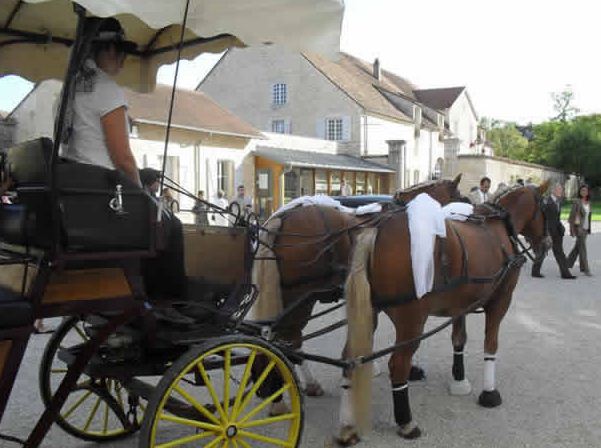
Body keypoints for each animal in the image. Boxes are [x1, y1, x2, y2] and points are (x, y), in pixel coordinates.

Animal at [338, 182, 548, 440]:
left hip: (370, 312)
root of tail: (376, 229)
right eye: (547, 209)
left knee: (349, 359)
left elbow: (459, 339)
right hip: (412, 317)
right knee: (397, 364)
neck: (499, 228)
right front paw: (489, 392)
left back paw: (347, 424)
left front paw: (459, 379)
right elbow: (491, 345)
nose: (547, 243)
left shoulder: (461, 304)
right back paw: (406, 422)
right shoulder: (501, 301)